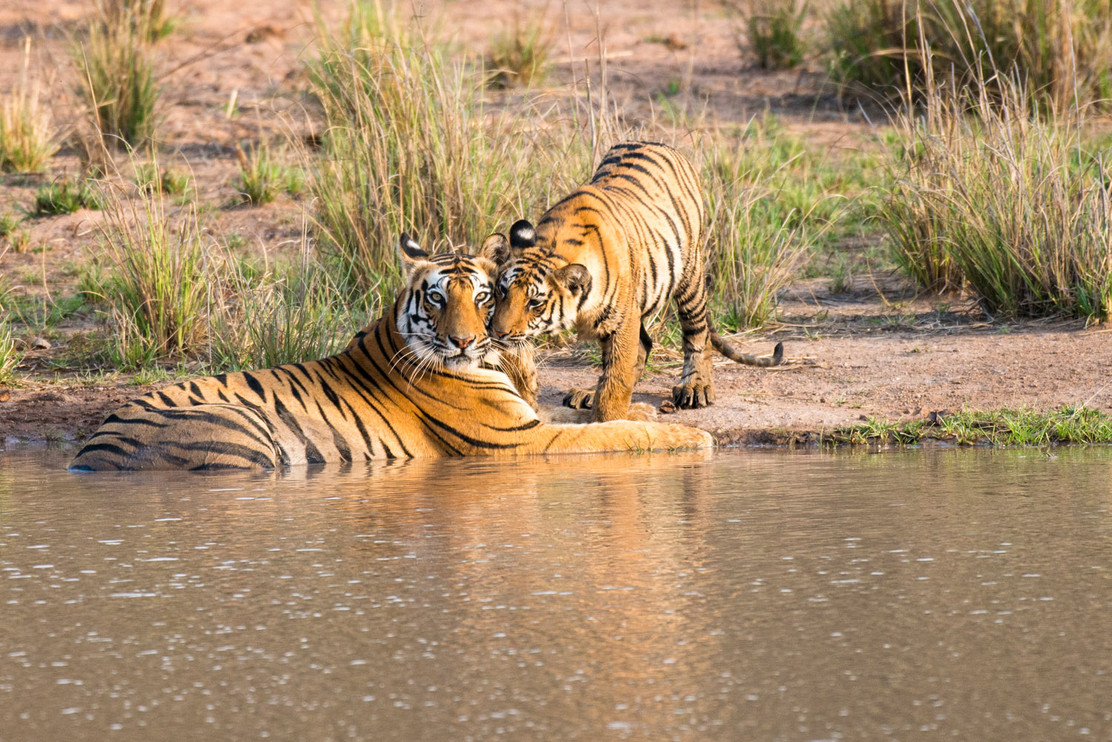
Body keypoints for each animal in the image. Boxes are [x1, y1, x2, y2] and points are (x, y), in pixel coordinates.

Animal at [69, 236, 713, 471]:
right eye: (437, 298)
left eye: (484, 297)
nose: (466, 340)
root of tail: (89, 449)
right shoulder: (522, 440)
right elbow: (611, 435)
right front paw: (692, 436)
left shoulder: (528, 417)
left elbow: (598, 415)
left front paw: (643, 408)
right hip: (243, 434)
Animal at [481, 140, 783, 423]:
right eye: (502, 291)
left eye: (534, 303)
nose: (498, 333)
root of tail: (659, 144)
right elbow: (617, 368)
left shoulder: (622, 319)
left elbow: (617, 377)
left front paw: (609, 421)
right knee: (642, 346)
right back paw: (589, 392)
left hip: (690, 276)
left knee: (697, 333)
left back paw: (696, 387)